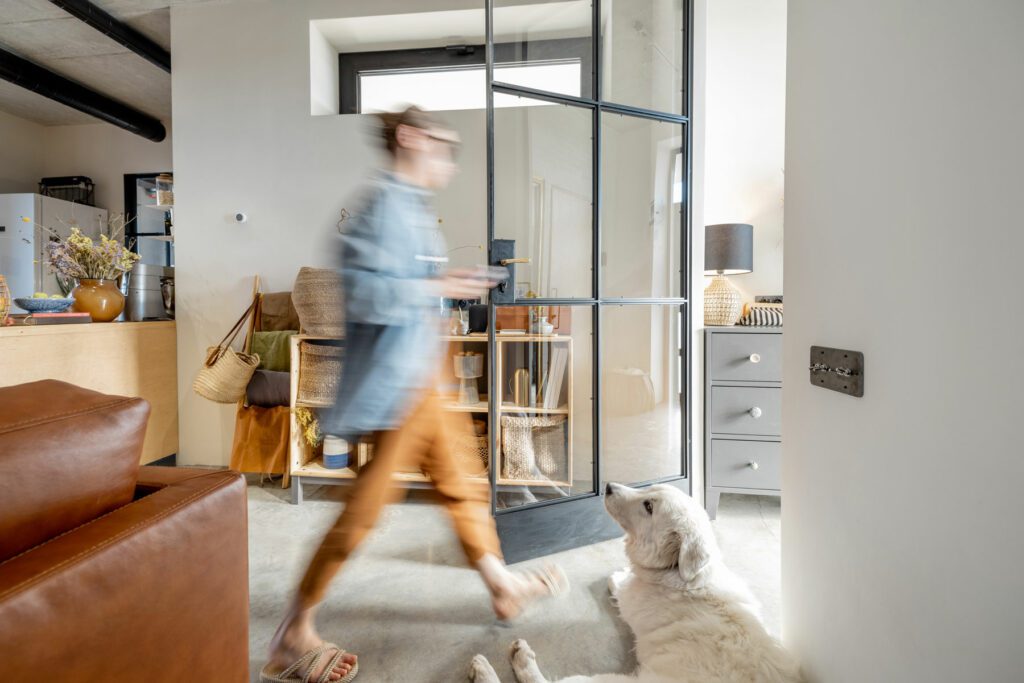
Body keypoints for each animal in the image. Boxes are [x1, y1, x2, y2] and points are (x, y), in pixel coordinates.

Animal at [468, 483, 798, 679]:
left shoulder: (632, 599)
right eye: (649, 491)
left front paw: (618, 575)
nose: (608, 486)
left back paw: (504, 663)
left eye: (649, 507)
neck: (682, 575)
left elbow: (621, 585)